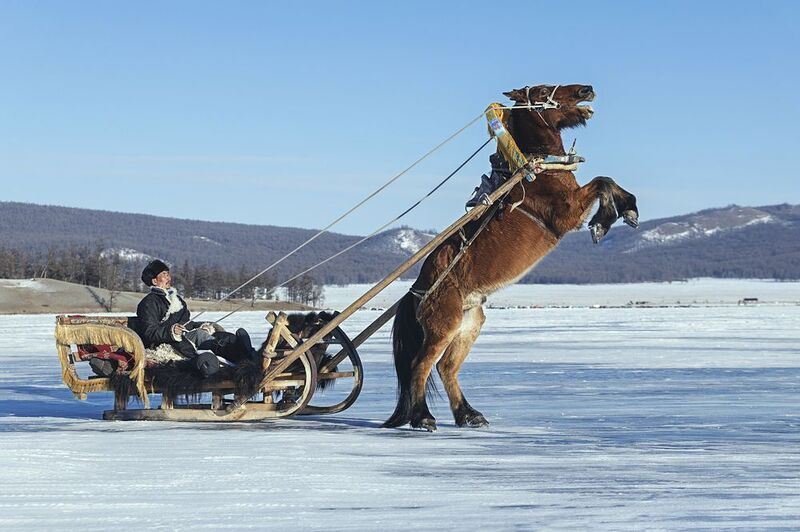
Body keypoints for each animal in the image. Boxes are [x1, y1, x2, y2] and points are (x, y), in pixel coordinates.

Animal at [383, 83, 639, 431]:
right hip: (443, 326)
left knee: (446, 367)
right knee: (419, 364)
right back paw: (423, 416)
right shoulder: (566, 214)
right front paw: (604, 221)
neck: (539, 172)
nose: (586, 90)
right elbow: (602, 182)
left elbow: (608, 182)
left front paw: (627, 210)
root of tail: (416, 290)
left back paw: (469, 414)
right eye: (542, 91)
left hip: (469, 324)